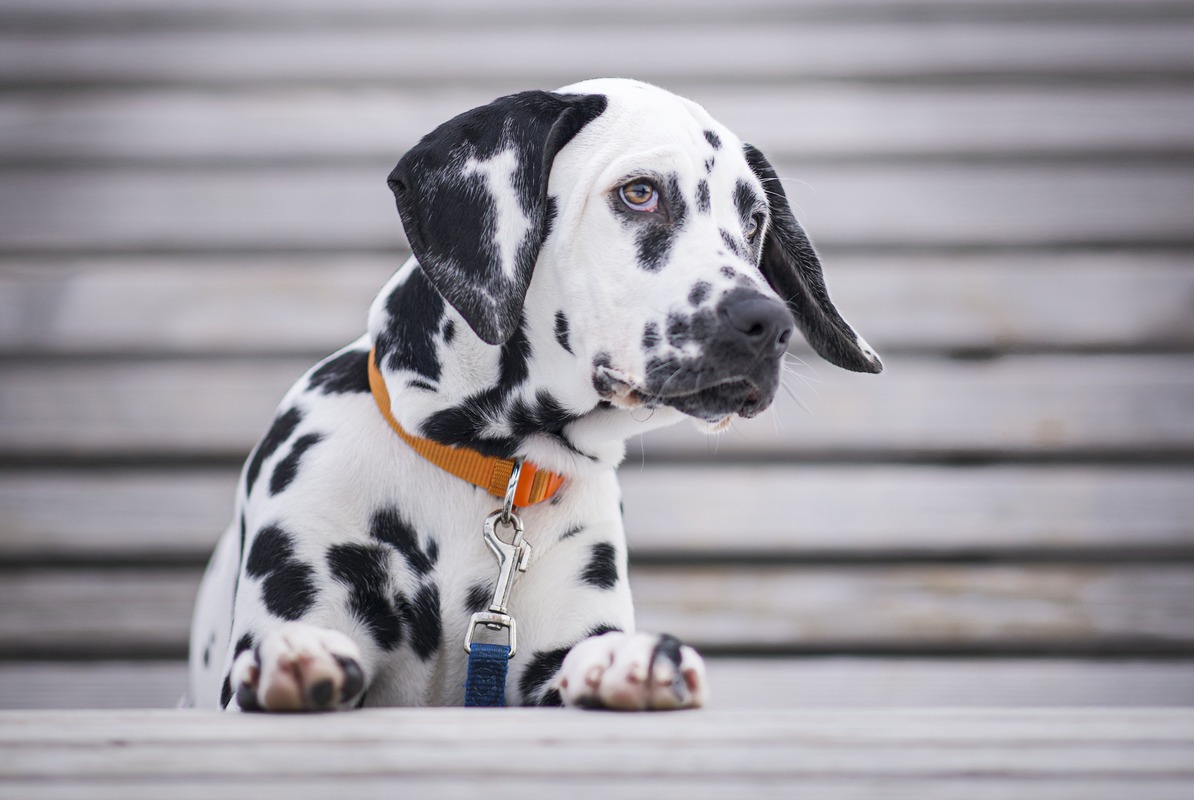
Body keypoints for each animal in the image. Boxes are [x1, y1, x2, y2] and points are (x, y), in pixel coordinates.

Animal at [183, 77, 878, 716]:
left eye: (755, 220)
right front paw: (295, 659)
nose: (768, 323)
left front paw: (629, 662)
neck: (488, 466)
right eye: (640, 193)